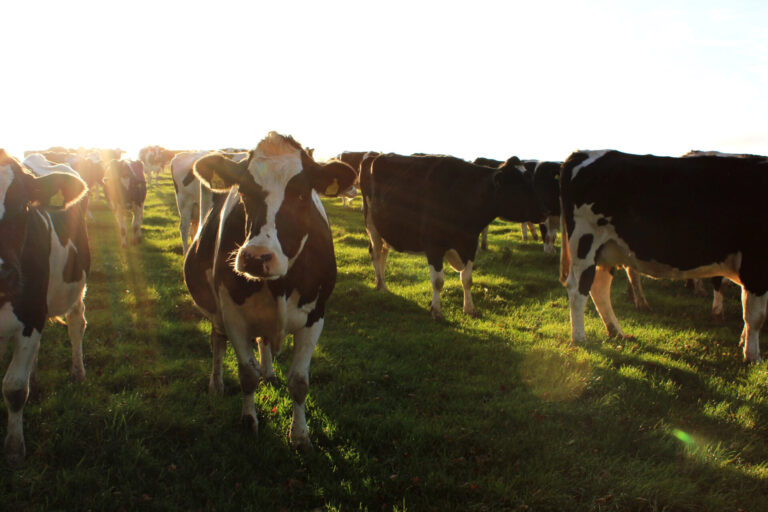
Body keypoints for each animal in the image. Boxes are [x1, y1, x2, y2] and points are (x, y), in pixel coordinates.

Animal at [0, 149, 90, 464]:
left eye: (23, 205)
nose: (2, 273)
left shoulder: (31, 315)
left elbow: (14, 388)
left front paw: (14, 448)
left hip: (76, 286)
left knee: (77, 325)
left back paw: (78, 372)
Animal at [183, 132, 356, 450]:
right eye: (243, 191)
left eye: (301, 195)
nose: (256, 257)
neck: (279, 285)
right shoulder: (233, 314)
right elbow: (247, 375)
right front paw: (249, 423)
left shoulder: (316, 316)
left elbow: (299, 382)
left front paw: (300, 436)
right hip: (215, 309)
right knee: (217, 341)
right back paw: (216, 383)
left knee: (263, 340)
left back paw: (270, 372)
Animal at [362, 153, 543, 319]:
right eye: (519, 186)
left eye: (530, 179)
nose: (544, 210)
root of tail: (375, 156)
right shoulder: (434, 246)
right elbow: (438, 281)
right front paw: (436, 311)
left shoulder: (470, 244)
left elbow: (467, 279)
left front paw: (469, 308)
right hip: (371, 225)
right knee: (375, 253)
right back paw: (381, 285)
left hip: (385, 230)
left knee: (383, 253)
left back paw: (381, 284)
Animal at [559, 149, 768, 362]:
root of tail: (583, 153)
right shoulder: (755, 266)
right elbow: (755, 316)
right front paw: (753, 357)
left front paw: (743, 343)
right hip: (585, 243)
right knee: (578, 290)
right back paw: (580, 338)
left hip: (605, 251)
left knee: (599, 288)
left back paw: (616, 331)